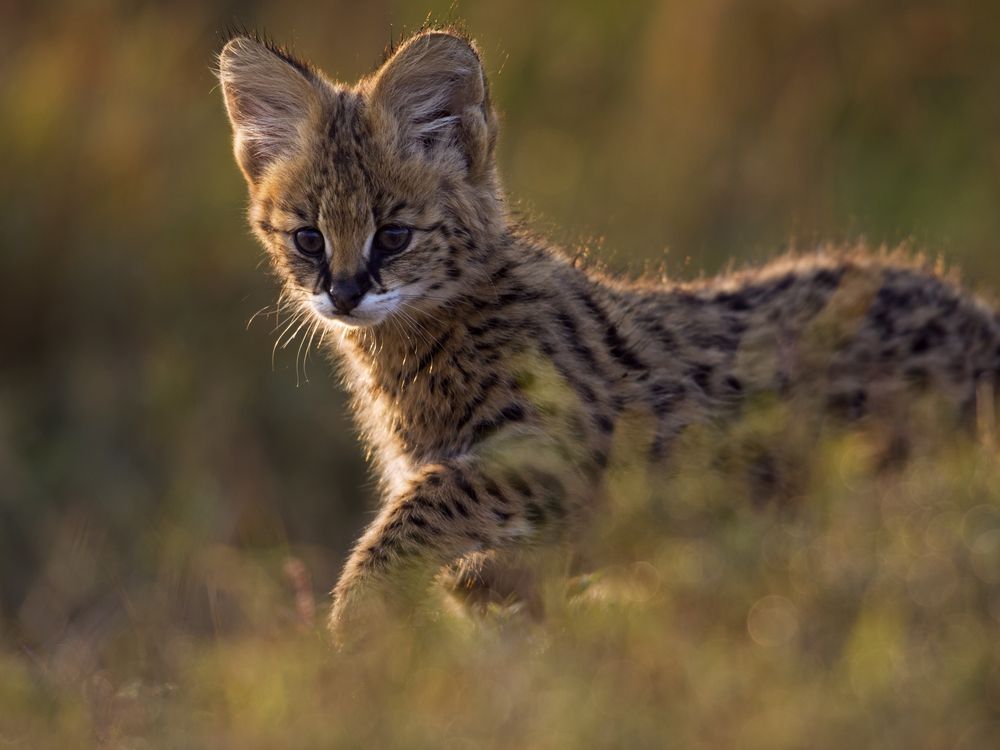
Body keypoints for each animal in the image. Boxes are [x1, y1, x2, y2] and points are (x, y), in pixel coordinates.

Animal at [219, 27, 1000, 640]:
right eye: (309, 239)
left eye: (393, 236)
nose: (344, 293)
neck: (414, 348)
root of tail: (977, 313)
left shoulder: (562, 450)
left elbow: (431, 505)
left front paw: (358, 617)